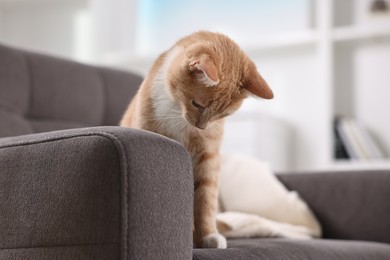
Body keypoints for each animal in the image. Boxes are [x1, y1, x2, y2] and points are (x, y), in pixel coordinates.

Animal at [120, 31, 272, 248]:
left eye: (221, 114)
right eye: (197, 104)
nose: (201, 126)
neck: (178, 114)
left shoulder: (208, 156)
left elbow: (206, 201)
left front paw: (208, 235)